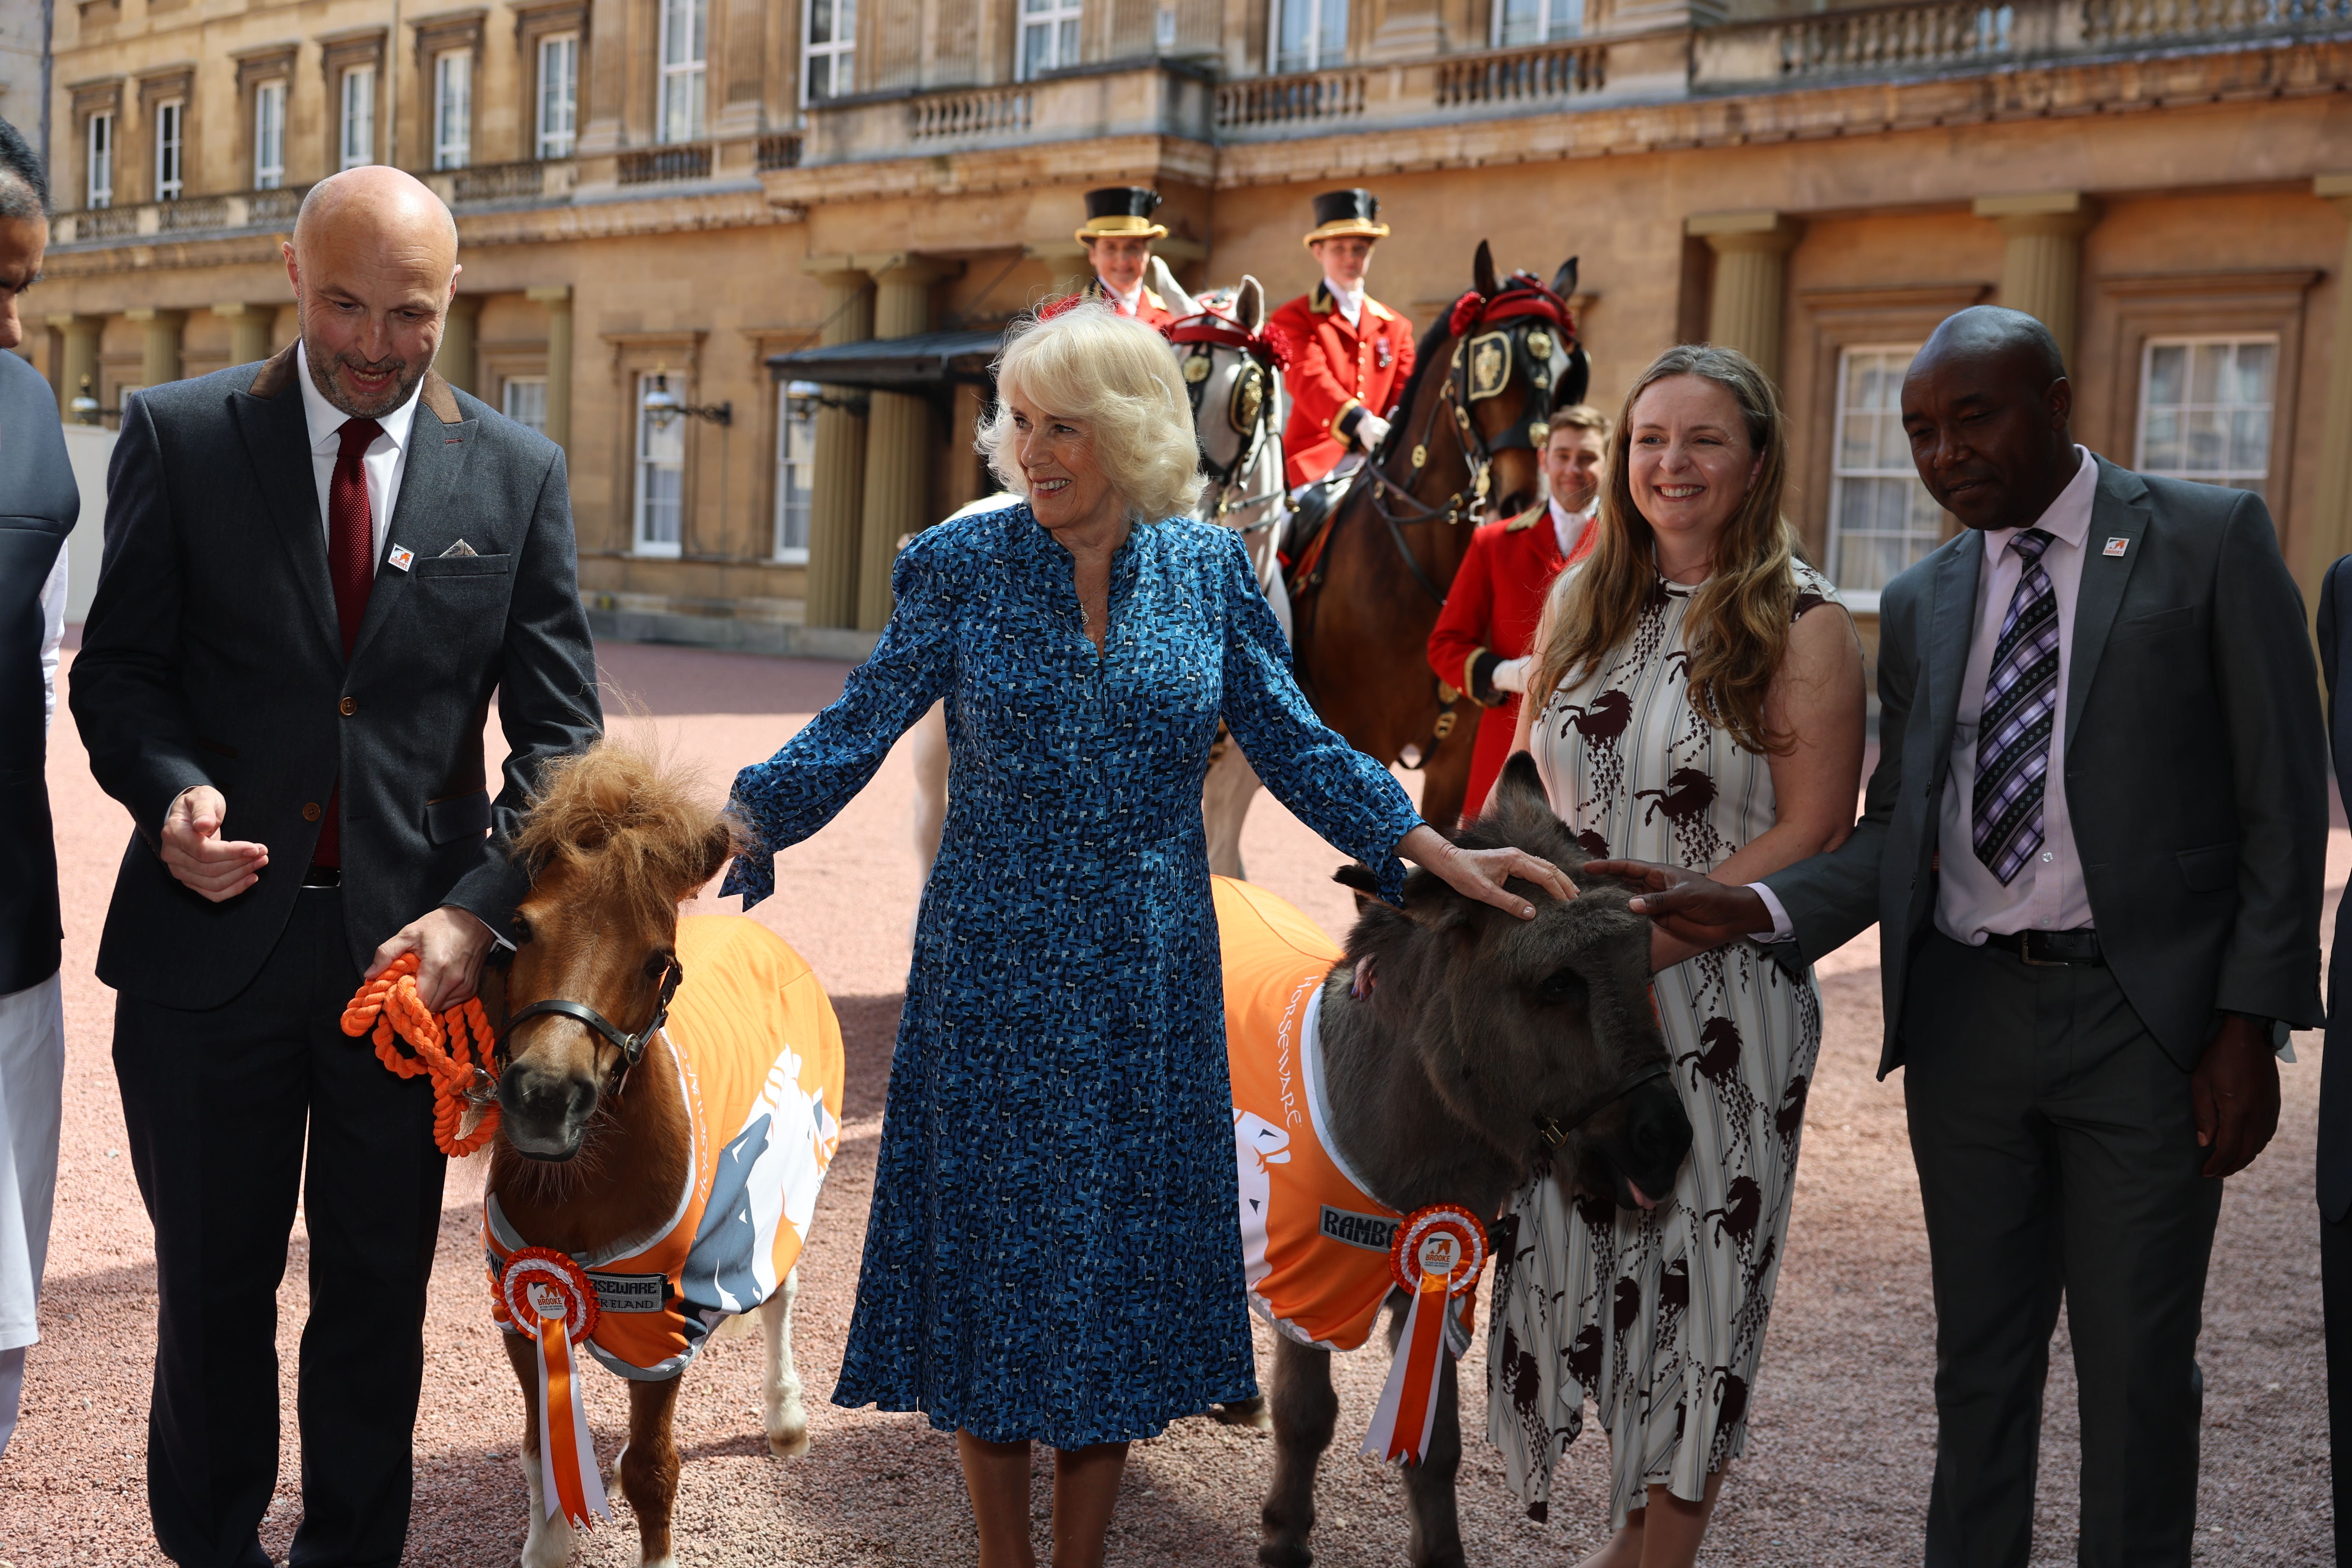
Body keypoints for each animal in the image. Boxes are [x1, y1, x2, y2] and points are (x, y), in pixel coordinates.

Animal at [487, 748, 837, 1568]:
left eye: (657, 962)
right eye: (519, 926)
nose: (545, 1096)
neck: (580, 1184)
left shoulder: (659, 1330)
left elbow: (653, 1468)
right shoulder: (523, 1310)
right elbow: (540, 1452)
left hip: (781, 1192)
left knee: (781, 1292)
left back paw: (787, 1421)